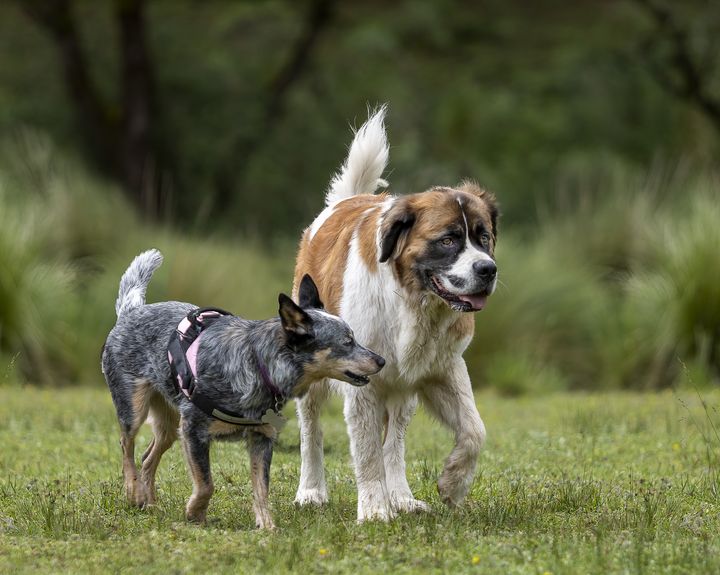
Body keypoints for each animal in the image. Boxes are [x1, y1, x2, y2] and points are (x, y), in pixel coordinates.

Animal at [103, 250, 386, 528]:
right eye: (347, 342)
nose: (382, 360)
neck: (258, 365)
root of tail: (131, 311)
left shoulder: (261, 438)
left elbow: (261, 489)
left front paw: (267, 526)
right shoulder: (194, 431)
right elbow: (206, 484)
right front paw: (195, 513)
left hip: (170, 425)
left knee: (147, 456)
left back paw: (148, 502)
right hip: (135, 408)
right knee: (126, 445)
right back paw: (133, 491)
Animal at [290, 107, 498, 520]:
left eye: (483, 238)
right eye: (448, 240)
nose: (488, 269)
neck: (412, 303)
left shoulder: (442, 367)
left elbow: (474, 429)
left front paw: (452, 483)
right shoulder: (362, 379)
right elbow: (367, 451)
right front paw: (373, 510)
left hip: (406, 388)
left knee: (396, 441)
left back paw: (401, 496)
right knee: (312, 431)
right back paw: (311, 490)